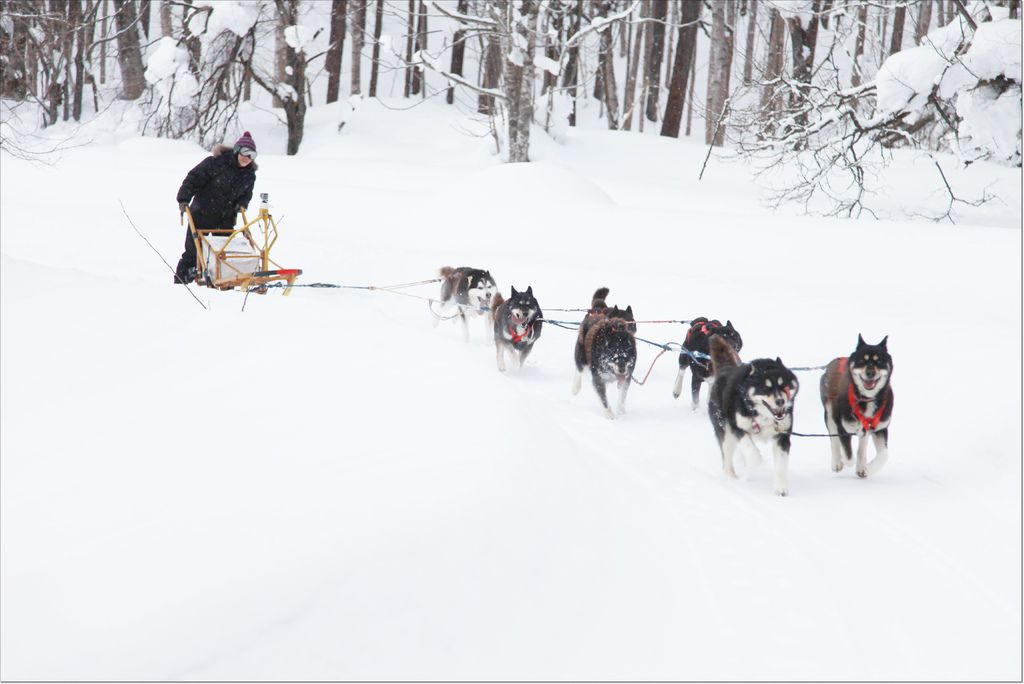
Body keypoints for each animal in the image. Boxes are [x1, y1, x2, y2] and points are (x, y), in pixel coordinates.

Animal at [819, 335, 892, 475]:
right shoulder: (843, 428)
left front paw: (868, 467)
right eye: (862, 361)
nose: (870, 373)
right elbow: (849, 456)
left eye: (879, 362)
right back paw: (837, 461)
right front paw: (847, 460)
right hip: (829, 414)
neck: (867, 399)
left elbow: (884, 455)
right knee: (834, 440)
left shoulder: (880, 428)